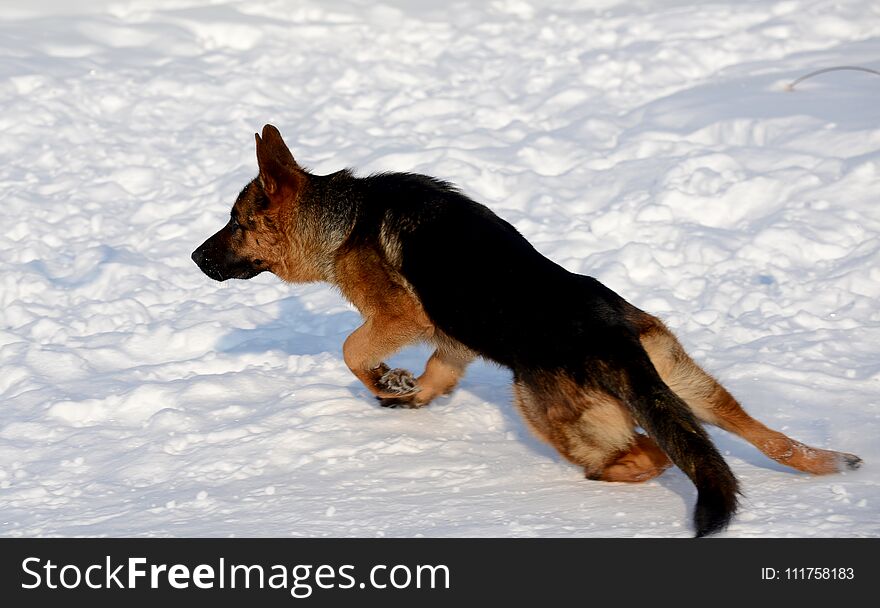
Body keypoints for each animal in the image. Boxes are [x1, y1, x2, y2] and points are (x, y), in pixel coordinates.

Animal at [191, 124, 860, 536]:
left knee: (646, 455)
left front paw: (385, 379)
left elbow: (351, 348)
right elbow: (436, 372)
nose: (194, 258)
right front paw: (405, 393)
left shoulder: (400, 317)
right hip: (688, 385)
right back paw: (825, 461)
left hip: (542, 409)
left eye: (236, 224)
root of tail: (611, 339)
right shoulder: (453, 340)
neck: (342, 217)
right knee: (758, 435)